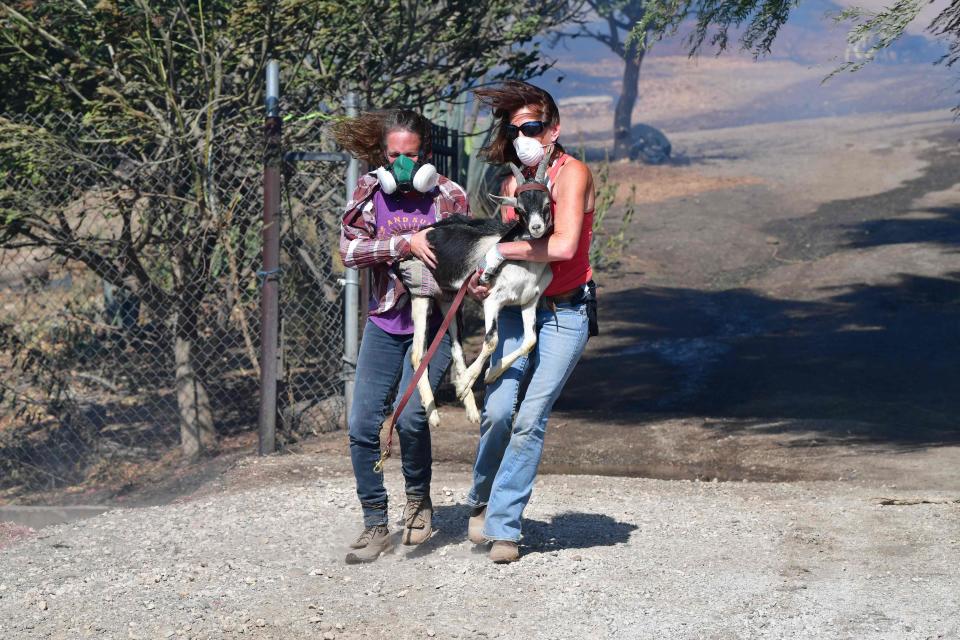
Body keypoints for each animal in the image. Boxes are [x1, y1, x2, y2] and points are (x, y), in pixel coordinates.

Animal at [404, 152, 556, 428]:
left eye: (547, 203)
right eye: (519, 209)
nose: (537, 228)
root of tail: (421, 234)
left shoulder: (529, 300)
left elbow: (530, 340)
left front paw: (489, 375)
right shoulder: (492, 300)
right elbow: (491, 341)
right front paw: (467, 383)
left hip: (450, 301)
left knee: (456, 348)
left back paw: (472, 410)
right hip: (421, 296)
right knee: (417, 352)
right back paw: (434, 414)